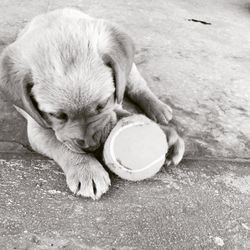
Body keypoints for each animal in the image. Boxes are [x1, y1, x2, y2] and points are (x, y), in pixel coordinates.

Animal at [0, 8, 184, 199]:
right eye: (57, 115)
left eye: (102, 104)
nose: (91, 146)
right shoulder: (38, 128)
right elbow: (62, 146)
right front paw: (87, 170)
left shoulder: (113, 104)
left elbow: (124, 114)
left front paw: (166, 136)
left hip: (128, 68)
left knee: (137, 86)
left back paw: (158, 108)